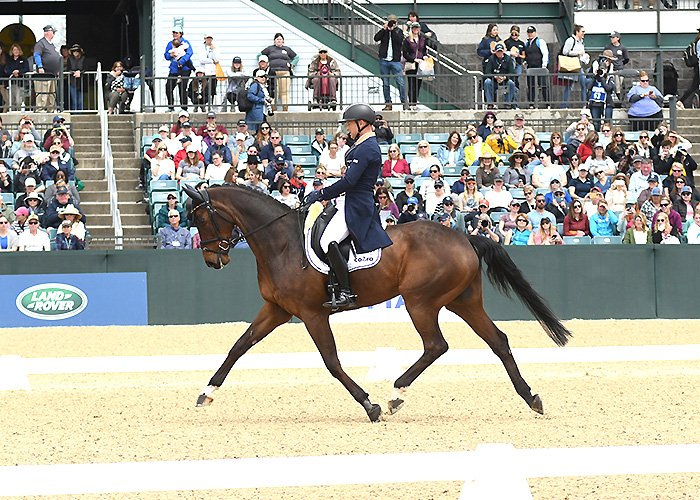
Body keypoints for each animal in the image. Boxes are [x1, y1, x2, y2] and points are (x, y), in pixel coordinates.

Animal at [183, 184, 572, 422]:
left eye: (201, 217)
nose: (213, 260)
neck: (282, 242)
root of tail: (465, 237)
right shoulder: (277, 310)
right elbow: (239, 346)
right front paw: (206, 393)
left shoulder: (311, 314)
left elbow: (332, 362)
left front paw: (369, 405)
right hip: (464, 301)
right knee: (498, 341)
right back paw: (531, 397)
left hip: (420, 301)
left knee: (436, 345)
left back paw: (396, 394)